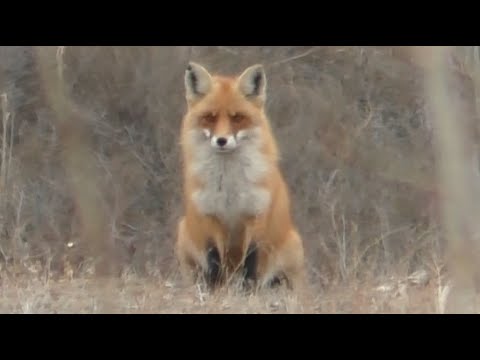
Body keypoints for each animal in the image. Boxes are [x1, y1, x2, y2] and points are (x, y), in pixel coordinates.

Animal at [174, 61, 306, 292]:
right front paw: (217, 293)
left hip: (292, 256)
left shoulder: (256, 216)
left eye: (237, 118)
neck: (229, 187)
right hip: (184, 239)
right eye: (210, 117)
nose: (221, 140)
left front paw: (248, 293)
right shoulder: (209, 216)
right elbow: (214, 263)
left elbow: (251, 265)